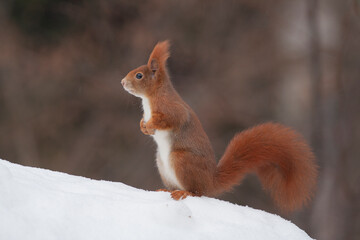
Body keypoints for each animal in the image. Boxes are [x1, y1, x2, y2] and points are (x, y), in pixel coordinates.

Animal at [121, 40, 318, 211]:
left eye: (139, 75)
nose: (122, 82)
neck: (149, 98)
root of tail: (210, 181)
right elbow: (144, 121)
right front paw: (143, 126)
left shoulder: (171, 108)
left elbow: (173, 119)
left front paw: (151, 125)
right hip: (162, 164)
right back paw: (167, 189)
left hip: (182, 160)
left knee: (197, 192)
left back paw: (184, 193)